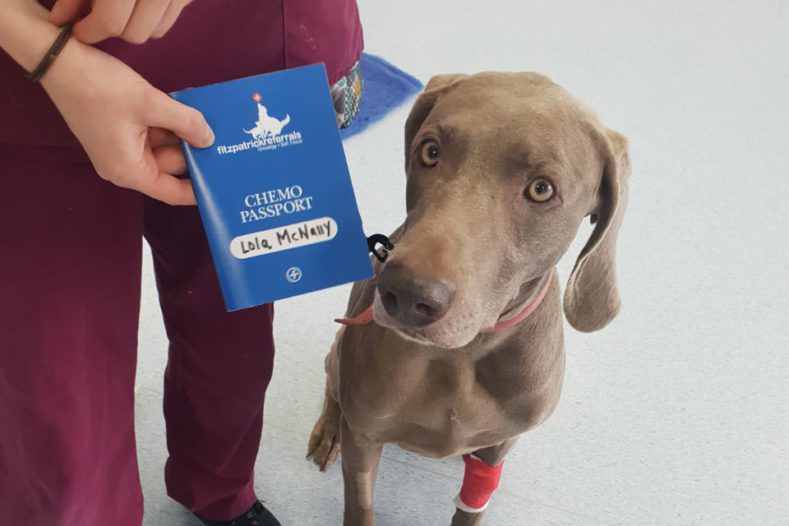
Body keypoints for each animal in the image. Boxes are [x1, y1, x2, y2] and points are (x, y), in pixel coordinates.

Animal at [306, 73, 628, 526]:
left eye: (541, 189)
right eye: (430, 151)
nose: (406, 295)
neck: (462, 356)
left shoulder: (495, 453)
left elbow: (471, 506)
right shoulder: (365, 439)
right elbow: (360, 504)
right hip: (339, 359)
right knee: (333, 389)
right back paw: (328, 430)